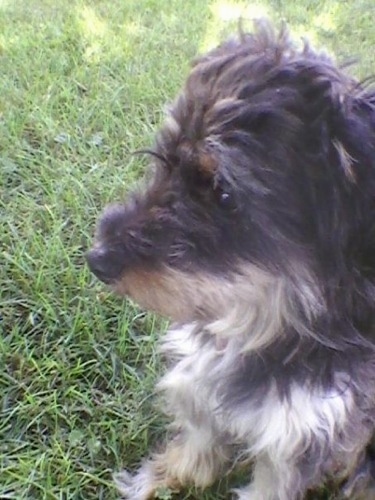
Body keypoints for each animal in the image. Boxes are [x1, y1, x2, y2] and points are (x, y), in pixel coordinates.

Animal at [86, 21, 375, 498]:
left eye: (223, 194)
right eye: (165, 160)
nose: (98, 260)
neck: (270, 317)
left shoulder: (303, 433)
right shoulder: (200, 373)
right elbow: (199, 436)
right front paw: (163, 477)